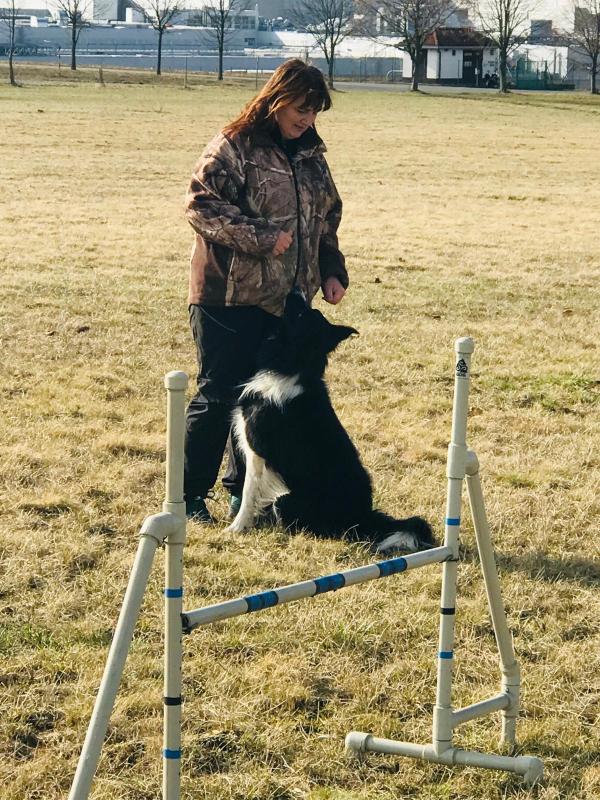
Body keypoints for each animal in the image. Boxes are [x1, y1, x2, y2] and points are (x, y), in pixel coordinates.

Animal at [226, 291, 434, 553]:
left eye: (301, 313)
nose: (295, 290)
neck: (293, 364)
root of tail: (364, 516)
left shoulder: (257, 450)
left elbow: (248, 491)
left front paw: (236, 527)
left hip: (286, 500)